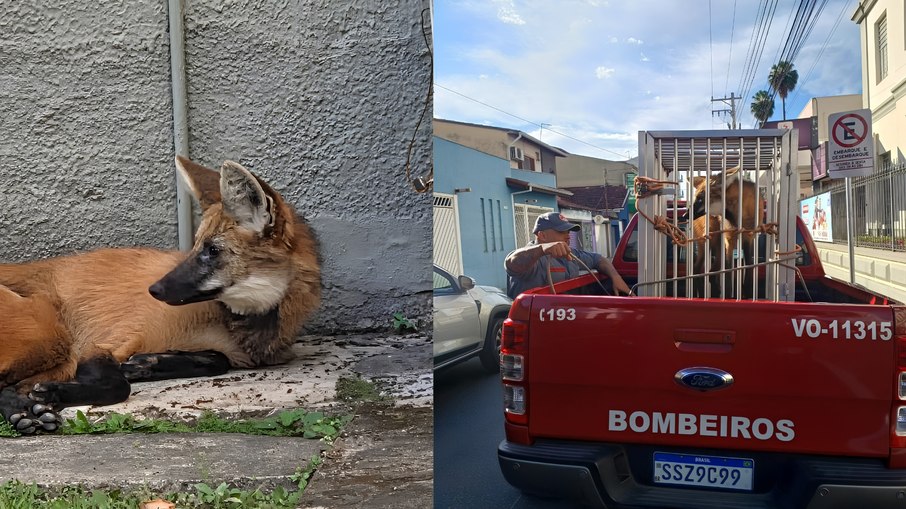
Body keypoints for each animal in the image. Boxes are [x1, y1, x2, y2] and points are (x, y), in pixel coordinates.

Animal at [0, 156, 321, 433]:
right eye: (196, 246)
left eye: (212, 250)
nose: (154, 289)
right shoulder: (99, 345)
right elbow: (119, 386)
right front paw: (54, 394)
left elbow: (217, 359)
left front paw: (147, 364)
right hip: (52, 337)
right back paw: (24, 412)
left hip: (58, 357)